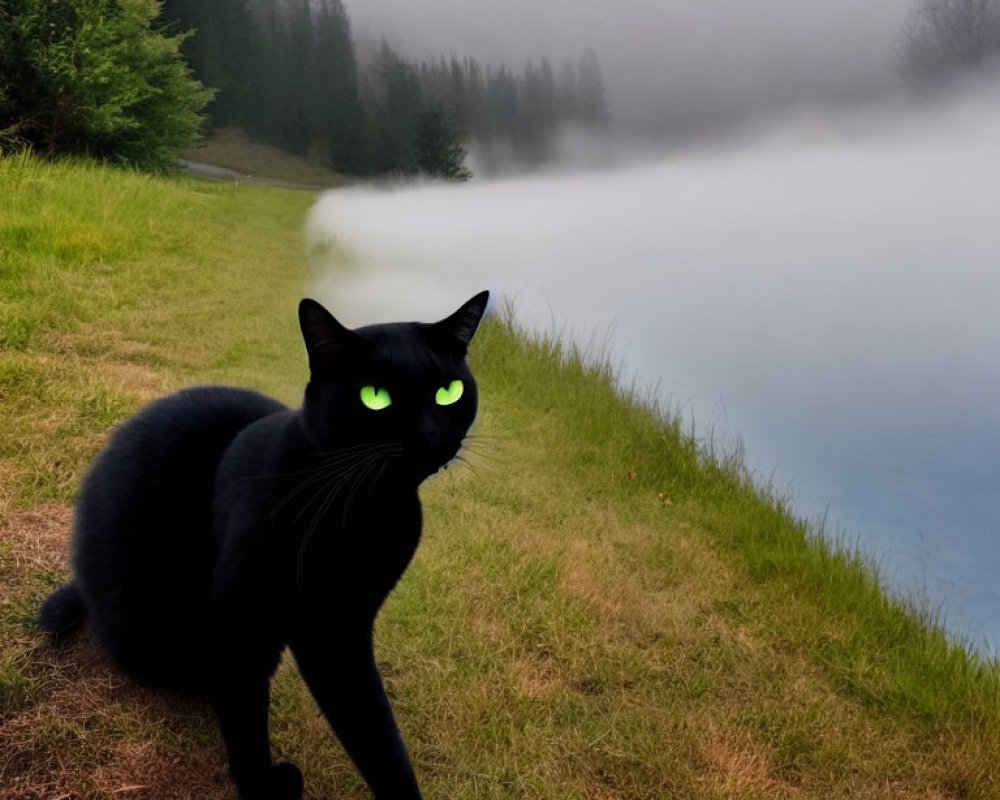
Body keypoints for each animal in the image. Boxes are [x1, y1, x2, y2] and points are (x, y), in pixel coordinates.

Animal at [40, 294, 492, 800]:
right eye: (375, 397)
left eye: (448, 392)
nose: (429, 435)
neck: (366, 508)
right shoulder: (247, 616)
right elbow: (247, 712)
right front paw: (262, 785)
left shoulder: (340, 625)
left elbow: (373, 728)